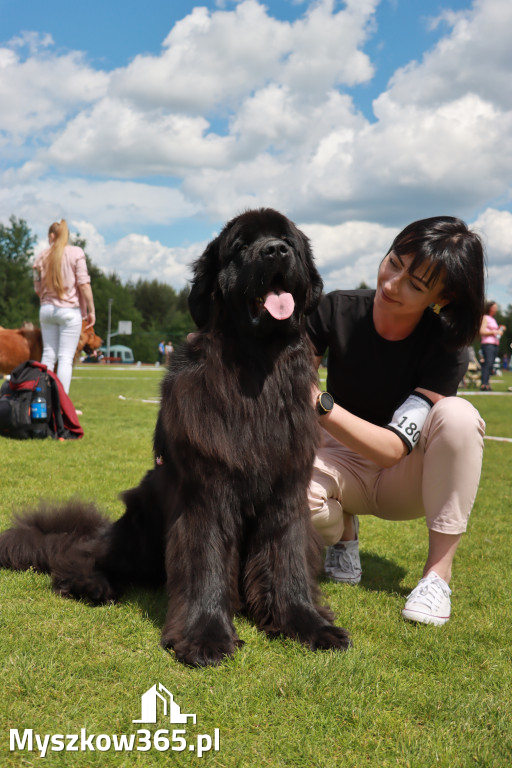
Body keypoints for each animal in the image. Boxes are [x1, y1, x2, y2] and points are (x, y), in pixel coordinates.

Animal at [0, 208, 350, 664]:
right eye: (241, 246)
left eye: (287, 240)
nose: (275, 251)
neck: (256, 366)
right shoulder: (206, 493)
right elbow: (205, 562)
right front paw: (205, 636)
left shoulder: (287, 492)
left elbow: (287, 560)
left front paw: (308, 625)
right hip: (138, 527)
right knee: (84, 555)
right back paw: (91, 583)